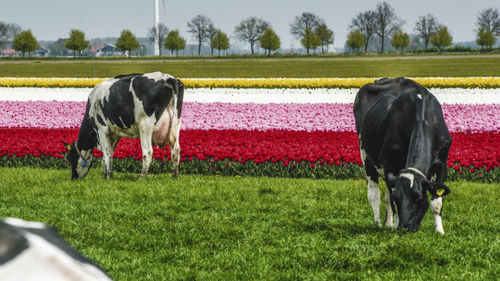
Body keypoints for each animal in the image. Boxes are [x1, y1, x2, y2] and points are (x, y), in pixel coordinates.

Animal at [352, 77, 454, 233]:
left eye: (418, 197)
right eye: (398, 198)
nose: (405, 228)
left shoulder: (442, 163)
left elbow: (437, 202)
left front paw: (440, 231)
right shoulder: (389, 164)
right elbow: (391, 200)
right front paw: (395, 226)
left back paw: (388, 223)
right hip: (365, 155)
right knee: (374, 194)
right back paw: (379, 224)